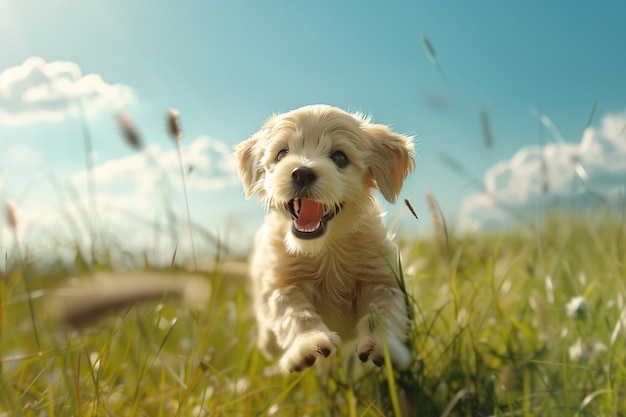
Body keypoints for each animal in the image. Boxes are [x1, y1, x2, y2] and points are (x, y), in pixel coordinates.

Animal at [234, 105, 414, 374]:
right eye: (281, 154)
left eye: (340, 157)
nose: (302, 173)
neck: (326, 249)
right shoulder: (285, 283)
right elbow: (297, 316)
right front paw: (307, 346)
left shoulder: (382, 279)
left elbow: (383, 314)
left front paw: (383, 346)